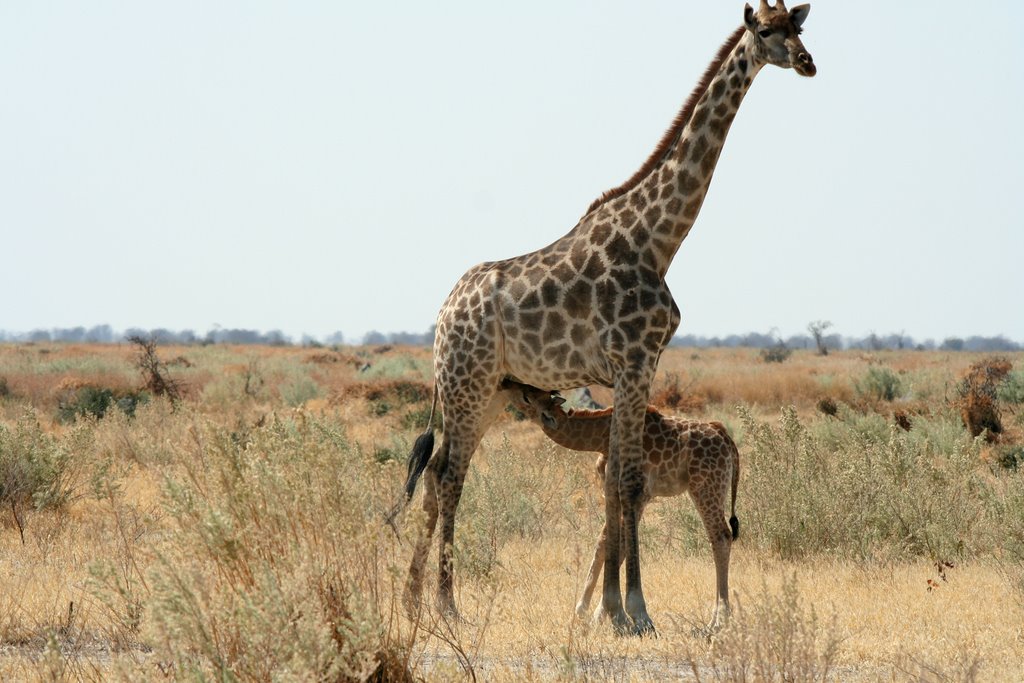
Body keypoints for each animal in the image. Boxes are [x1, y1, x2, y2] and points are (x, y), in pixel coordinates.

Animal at [505, 382, 741, 626]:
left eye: (526, 396)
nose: (507, 383)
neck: (600, 438)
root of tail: (728, 440)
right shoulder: (615, 491)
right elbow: (604, 542)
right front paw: (585, 610)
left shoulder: (640, 493)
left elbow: (621, 543)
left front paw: (601, 614)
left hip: (705, 485)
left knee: (721, 535)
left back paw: (719, 618)